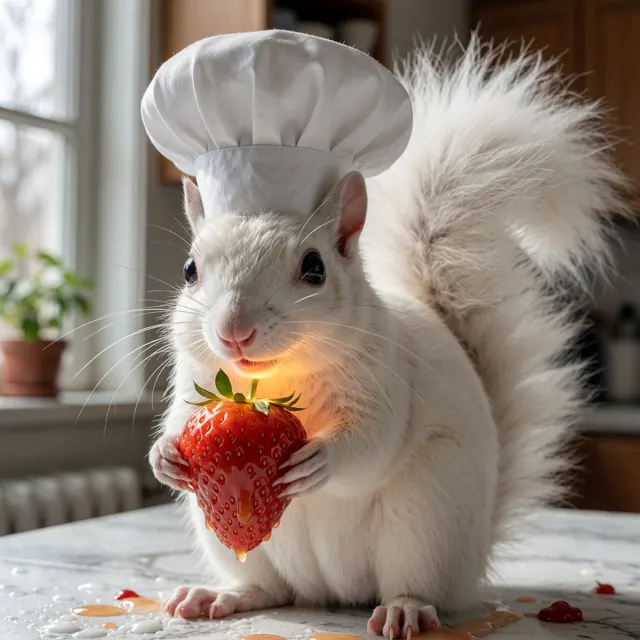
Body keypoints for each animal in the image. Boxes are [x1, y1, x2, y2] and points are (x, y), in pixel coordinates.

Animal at [149, 36, 625, 634]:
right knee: (267, 584)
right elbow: (178, 421)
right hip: (238, 540)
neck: (279, 380)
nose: (235, 331)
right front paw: (166, 455)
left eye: (314, 268)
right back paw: (221, 596)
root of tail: (330, 592)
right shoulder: (197, 381)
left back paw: (404, 609)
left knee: (416, 582)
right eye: (190, 269)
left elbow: (372, 443)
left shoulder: (385, 380)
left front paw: (319, 461)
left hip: (427, 517)